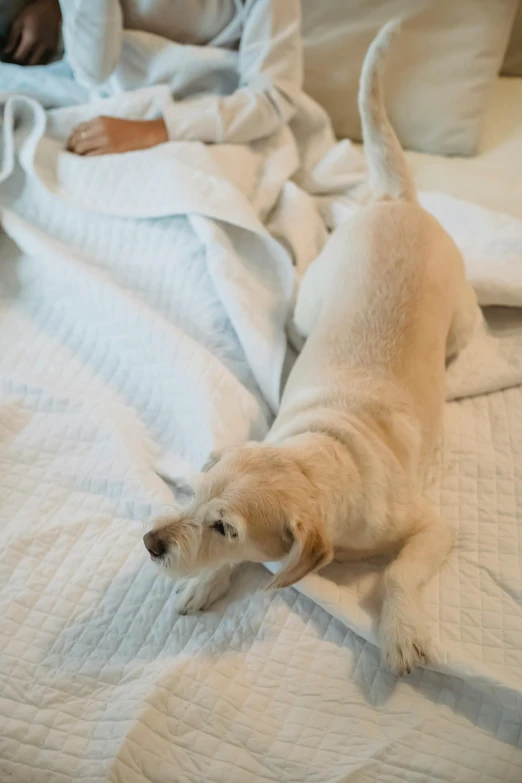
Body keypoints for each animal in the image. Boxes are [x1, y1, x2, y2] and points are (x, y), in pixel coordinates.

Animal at [142, 21, 476, 676]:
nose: (151, 543)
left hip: (461, 322)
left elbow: (399, 572)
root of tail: (396, 200)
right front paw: (204, 583)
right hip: (308, 303)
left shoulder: (432, 527)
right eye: (195, 492)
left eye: (225, 528)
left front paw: (401, 631)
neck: (325, 453)